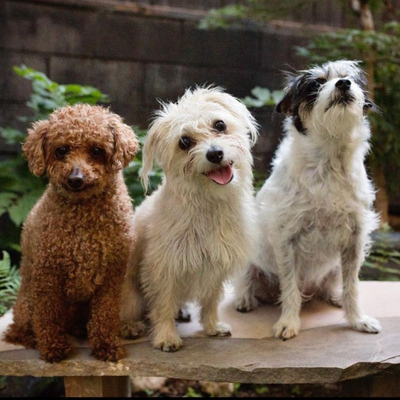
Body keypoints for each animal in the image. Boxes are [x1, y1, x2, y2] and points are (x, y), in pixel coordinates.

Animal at [119, 86, 260, 352]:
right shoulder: (164, 268)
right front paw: (166, 337)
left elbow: (211, 301)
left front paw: (212, 327)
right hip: (128, 295)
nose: (215, 153)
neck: (210, 205)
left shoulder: (216, 266)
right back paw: (129, 326)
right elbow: (163, 305)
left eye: (219, 125)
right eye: (184, 142)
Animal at [234, 59, 382, 340]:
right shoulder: (286, 238)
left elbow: (353, 287)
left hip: (334, 269)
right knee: (246, 278)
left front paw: (357, 320)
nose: (343, 84)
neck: (330, 161)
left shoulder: (355, 239)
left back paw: (334, 297)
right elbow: (290, 287)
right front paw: (288, 323)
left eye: (349, 78)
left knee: (336, 284)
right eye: (316, 84)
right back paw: (245, 298)